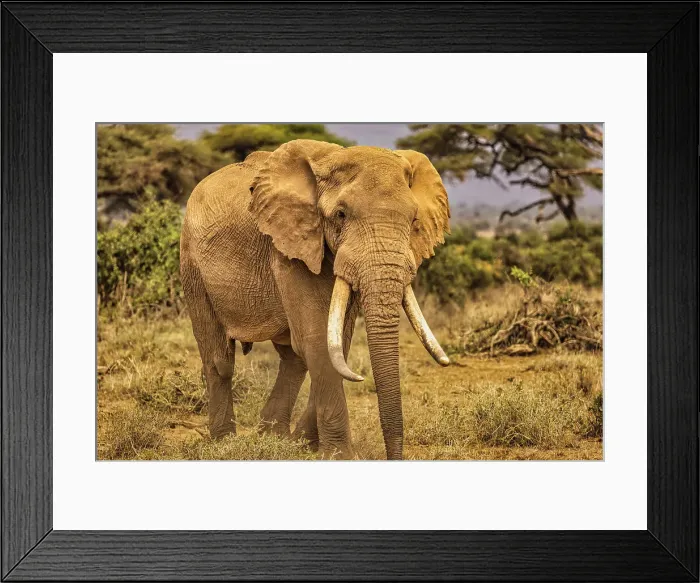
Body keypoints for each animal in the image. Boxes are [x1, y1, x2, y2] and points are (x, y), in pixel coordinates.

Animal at [180, 139, 450, 460]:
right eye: (341, 215)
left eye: (413, 219)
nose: (394, 458)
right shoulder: (289, 245)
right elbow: (319, 341)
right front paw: (340, 457)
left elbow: (335, 345)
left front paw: (305, 445)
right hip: (192, 263)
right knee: (219, 359)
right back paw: (224, 443)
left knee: (293, 359)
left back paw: (276, 439)